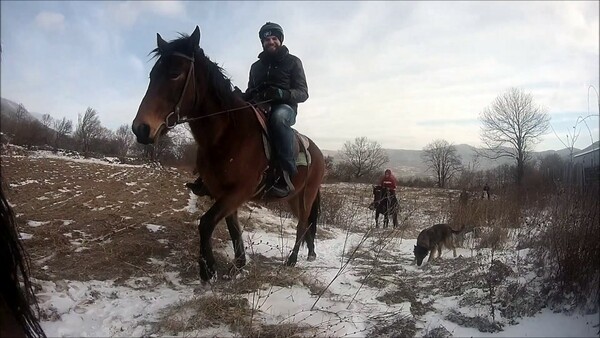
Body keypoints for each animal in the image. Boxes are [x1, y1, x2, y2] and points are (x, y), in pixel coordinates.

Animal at [133, 26, 326, 282]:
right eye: (152, 75)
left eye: (175, 74)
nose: (141, 129)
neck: (227, 135)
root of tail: (319, 153)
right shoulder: (222, 193)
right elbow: (232, 228)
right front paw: (238, 265)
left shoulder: (239, 191)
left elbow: (206, 223)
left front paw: (208, 270)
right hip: (294, 197)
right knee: (304, 226)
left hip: (307, 195)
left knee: (303, 224)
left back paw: (292, 260)